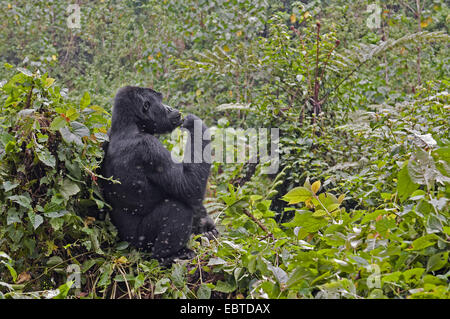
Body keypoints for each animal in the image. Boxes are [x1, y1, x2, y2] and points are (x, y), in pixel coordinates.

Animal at [100, 86, 218, 266]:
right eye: (161, 102)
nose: (169, 108)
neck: (129, 125)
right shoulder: (149, 148)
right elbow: (189, 188)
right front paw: (196, 124)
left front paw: (207, 227)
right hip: (139, 247)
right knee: (177, 208)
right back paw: (168, 256)